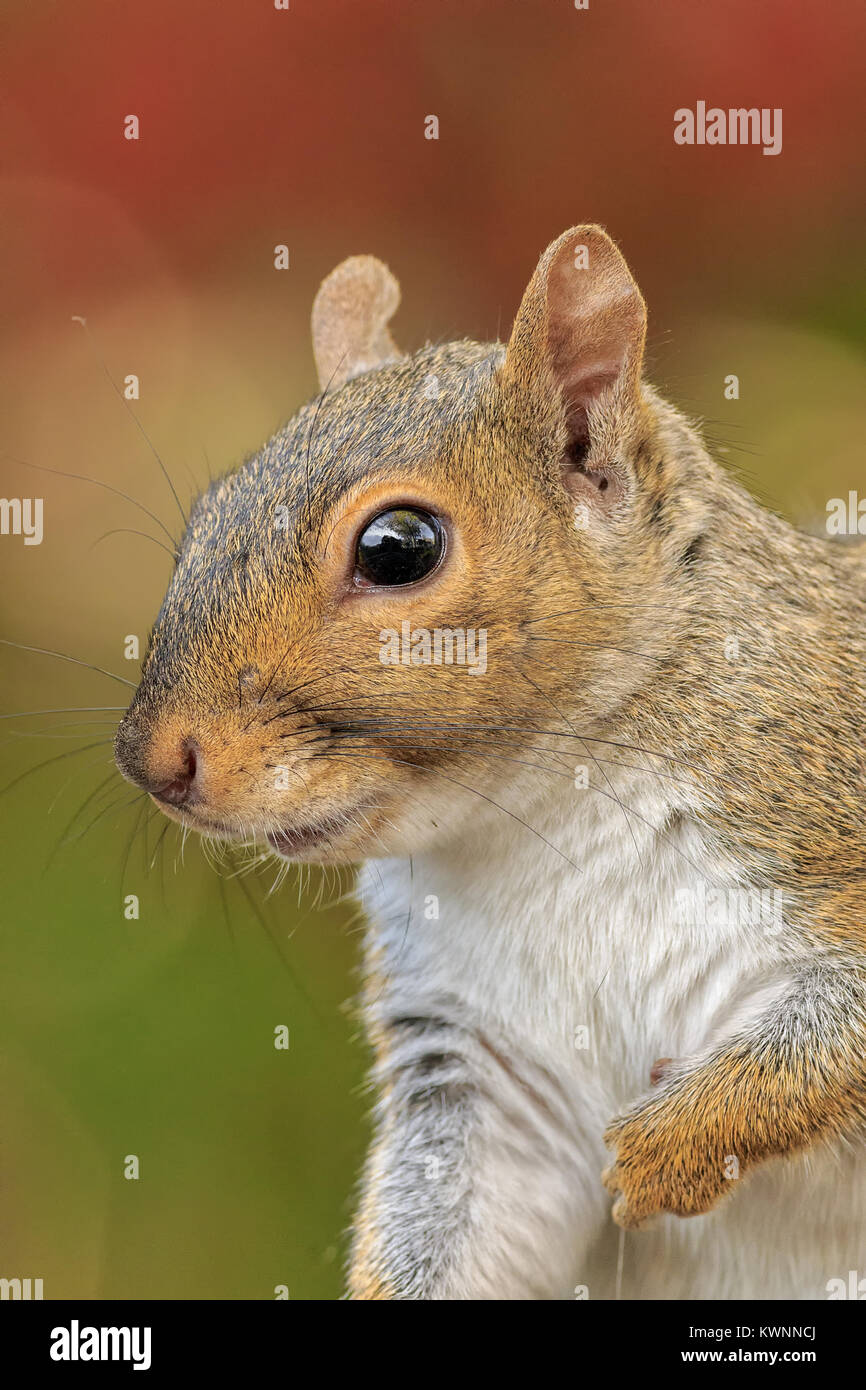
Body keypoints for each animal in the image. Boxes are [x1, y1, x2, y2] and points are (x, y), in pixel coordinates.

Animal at [114, 225, 866, 1300]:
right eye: (208, 516)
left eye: (398, 547)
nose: (151, 762)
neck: (545, 814)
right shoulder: (478, 1055)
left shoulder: (813, 809)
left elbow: (835, 1035)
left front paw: (666, 1149)